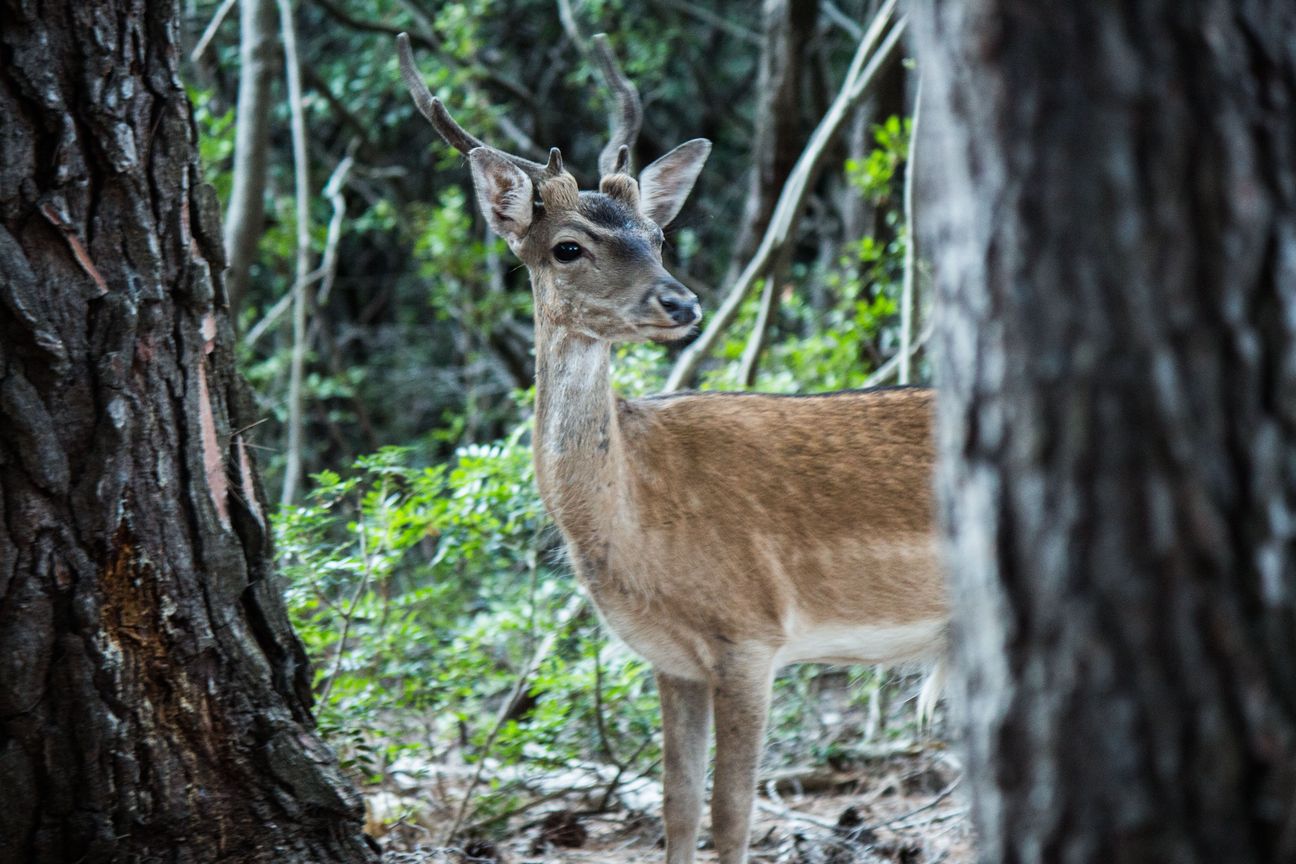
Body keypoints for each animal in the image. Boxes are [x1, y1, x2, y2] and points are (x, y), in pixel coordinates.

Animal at [393, 30, 943, 864]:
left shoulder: (750, 634)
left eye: (656, 236)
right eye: (567, 247)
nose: (681, 302)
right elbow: (678, 806)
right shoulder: (671, 660)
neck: (637, 527)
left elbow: (733, 814)